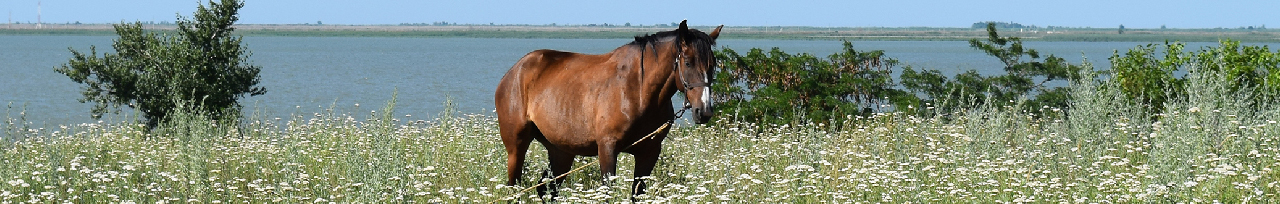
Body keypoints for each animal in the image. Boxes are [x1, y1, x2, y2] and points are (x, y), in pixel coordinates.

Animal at [496, 20, 727, 198]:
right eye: (688, 62)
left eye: (713, 65)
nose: (704, 111)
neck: (637, 90)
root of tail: (514, 72)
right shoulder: (607, 150)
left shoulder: (649, 153)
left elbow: (637, 193)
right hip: (516, 147)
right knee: (513, 187)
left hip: (560, 152)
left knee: (546, 189)